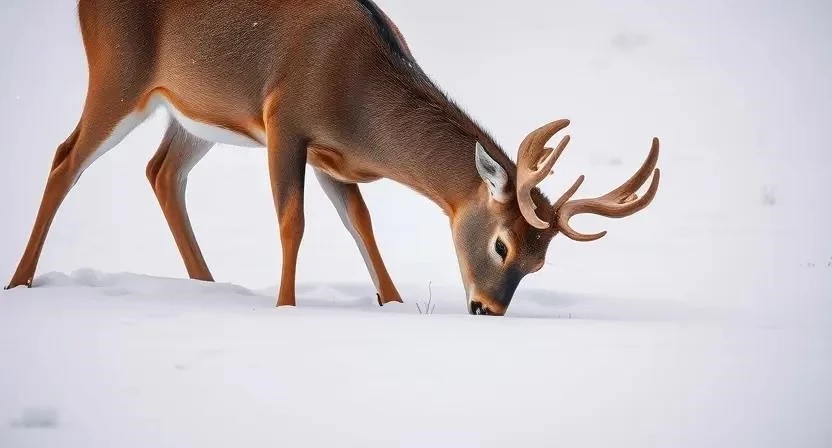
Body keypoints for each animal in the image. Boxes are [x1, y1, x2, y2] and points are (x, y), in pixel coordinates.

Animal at [5, 0, 661, 316]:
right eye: (501, 245)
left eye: (540, 262)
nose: (486, 308)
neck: (355, 93)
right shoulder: (285, 120)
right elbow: (292, 222)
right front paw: (286, 307)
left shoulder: (331, 156)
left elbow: (361, 225)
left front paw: (392, 304)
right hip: (118, 69)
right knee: (65, 158)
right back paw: (21, 282)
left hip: (197, 108)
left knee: (162, 171)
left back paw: (207, 286)